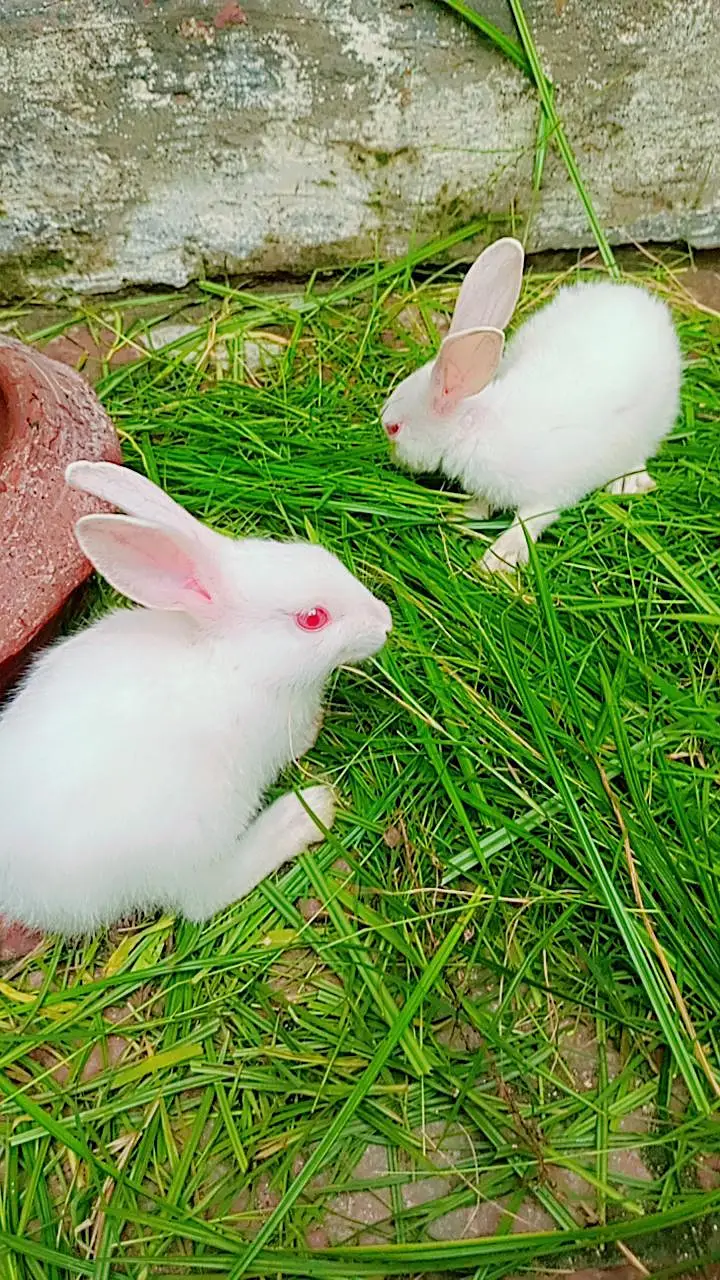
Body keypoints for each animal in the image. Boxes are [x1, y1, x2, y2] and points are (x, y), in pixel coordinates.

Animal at [0, 461, 392, 942]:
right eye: (313, 619)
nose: (385, 621)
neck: (236, 661)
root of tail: (25, 894)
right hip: (197, 832)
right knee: (204, 897)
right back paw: (303, 814)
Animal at [381, 238, 682, 571]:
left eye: (394, 428)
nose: (392, 457)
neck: (476, 429)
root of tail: (639, 299)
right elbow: (483, 502)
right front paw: (461, 516)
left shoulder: (546, 496)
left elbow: (527, 523)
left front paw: (497, 561)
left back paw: (630, 483)